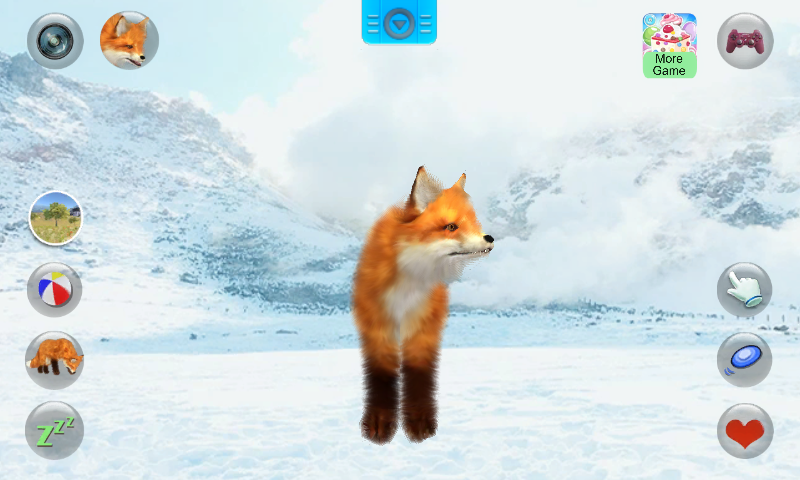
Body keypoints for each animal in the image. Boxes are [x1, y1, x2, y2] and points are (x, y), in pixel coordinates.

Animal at [353, 166, 495, 444]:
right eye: (451, 227)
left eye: (474, 223)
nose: (490, 238)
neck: (407, 289)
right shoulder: (377, 327)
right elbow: (380, 377)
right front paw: (379, 423)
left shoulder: (423, 328)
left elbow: (420, 376)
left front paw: (419, 424)